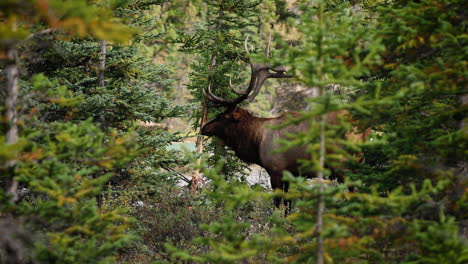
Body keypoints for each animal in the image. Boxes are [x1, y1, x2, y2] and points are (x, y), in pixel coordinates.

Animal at [201, 37, 370, 210]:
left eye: (223, 116)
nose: (203, 128)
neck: (257, 141)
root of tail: (364, 127)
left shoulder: (276, 170)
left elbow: (277, 203)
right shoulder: (291, 174)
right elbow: (288, 205)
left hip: (343, 163)